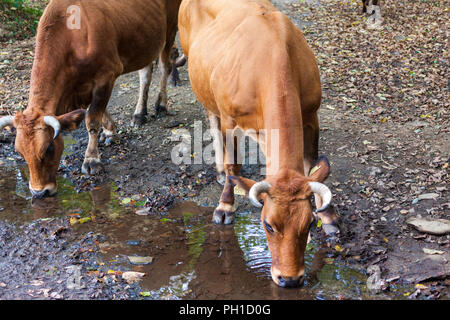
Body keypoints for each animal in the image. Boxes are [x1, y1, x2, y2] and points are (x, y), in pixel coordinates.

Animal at [0, 0, 183, 198]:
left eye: (48, 148)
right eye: (19, 152)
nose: (39, 192)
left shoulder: (106, 75)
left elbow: (92, 119)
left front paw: (91, 159)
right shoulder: (82, 87)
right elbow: (96, 111)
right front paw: (109, 130)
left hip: (171, 28)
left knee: (165, 66)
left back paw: (162, 104)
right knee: (145, 73)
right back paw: (139, 114)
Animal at [178, 0, 340, 288]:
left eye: (309, 224)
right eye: (267, 225)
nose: (290, 280)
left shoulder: (312, 114)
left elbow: (313, 166)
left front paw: (329, 217)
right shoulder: (230, 120)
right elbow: (234, 165)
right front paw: (225, 206)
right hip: (202, 85)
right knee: (210, 117)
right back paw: (218, 170)